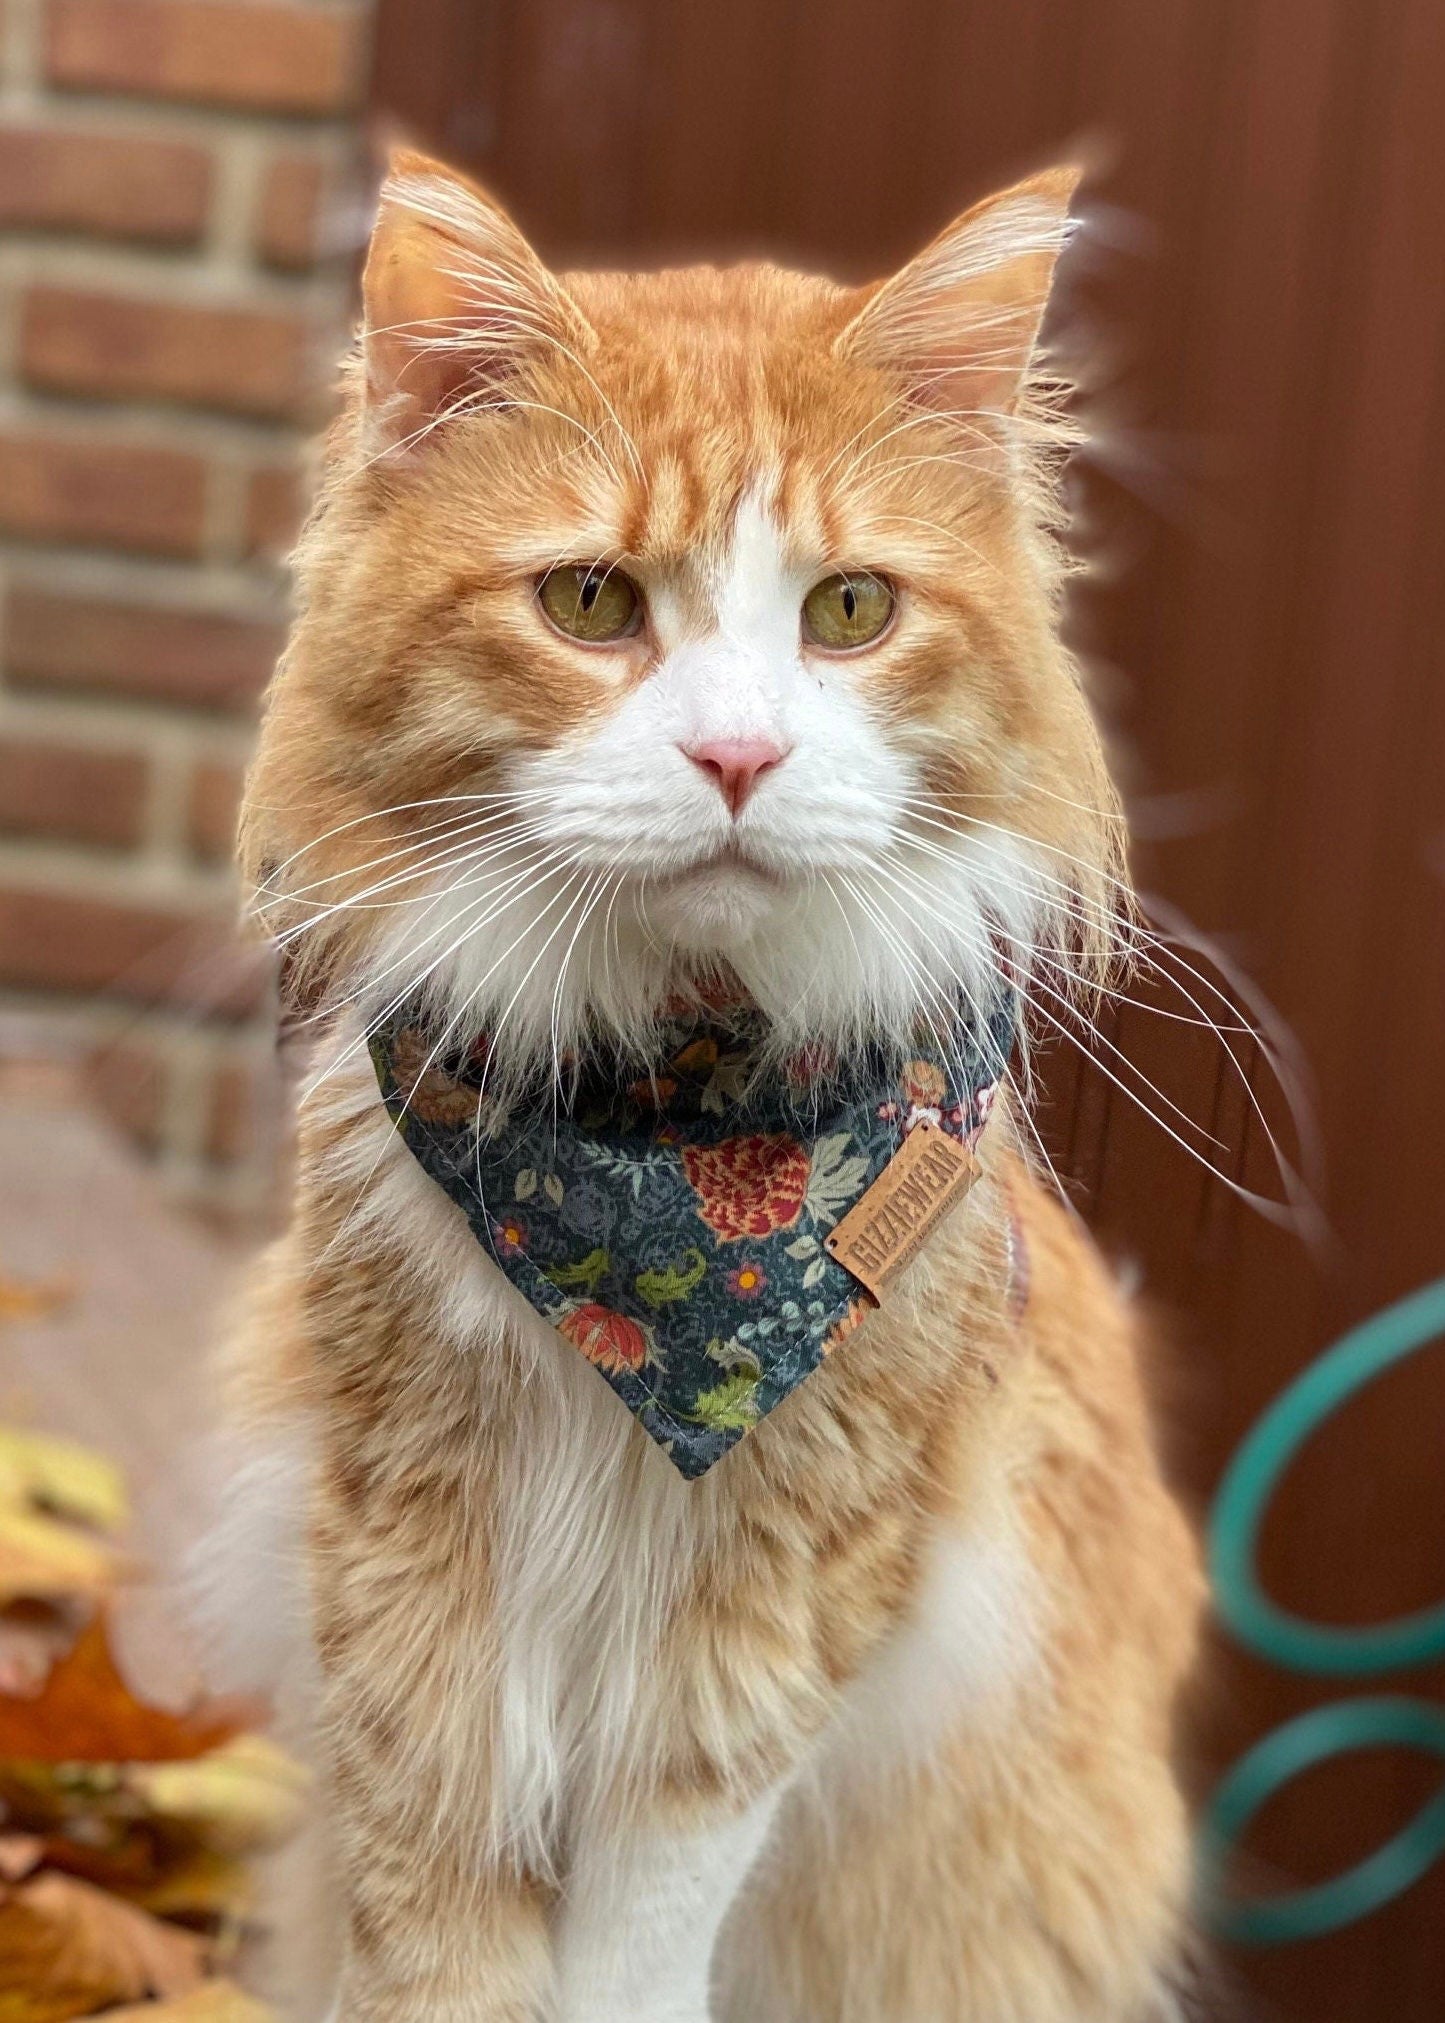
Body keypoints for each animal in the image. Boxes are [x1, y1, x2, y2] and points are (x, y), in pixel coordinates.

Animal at [211, 149, 1206, 2014]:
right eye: (592, 602)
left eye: (850, 611)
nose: (739, 756)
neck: (674, 1158)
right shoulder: (408, 1565)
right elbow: (429, 1926)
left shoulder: (782, 1601)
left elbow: (647, 1916)